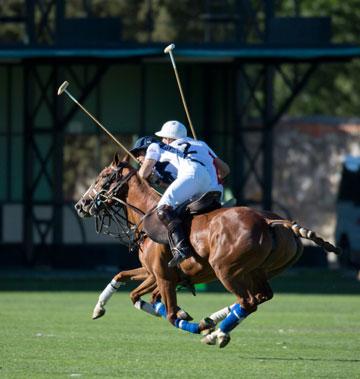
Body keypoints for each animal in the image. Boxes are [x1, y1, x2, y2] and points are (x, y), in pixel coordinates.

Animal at [76, 154, 340, 348]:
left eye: (103, 176)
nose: (81, 205)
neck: (146, 213)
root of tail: (270, 221)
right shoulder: (155, 273)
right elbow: (126, 283)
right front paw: (99, 308)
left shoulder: (162, 276)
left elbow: (168, 314)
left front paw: (194, 322)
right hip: (258, 272)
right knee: (258, 298)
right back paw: (216, 325)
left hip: (226, 270)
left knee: (248, 301)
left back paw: (214, 333)